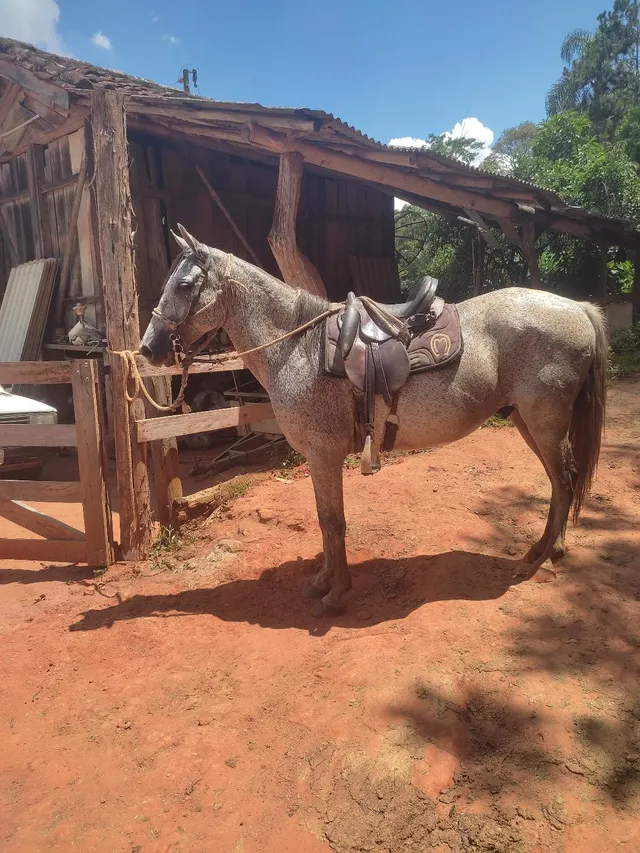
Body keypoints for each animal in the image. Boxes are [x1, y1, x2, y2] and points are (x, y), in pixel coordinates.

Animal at [140, 225, 607, 616]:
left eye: (185, 285)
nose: (148, 348)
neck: (298, 347)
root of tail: (578, 308)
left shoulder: (324, 453)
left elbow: (333, 522)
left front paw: (336, 592)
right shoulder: (319, 457)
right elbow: (324, 519)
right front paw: (324, 580)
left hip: (545, 422)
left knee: (564, 479)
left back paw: (541, 557)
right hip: (529, 423)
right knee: (558, 482)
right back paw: (541, 549)